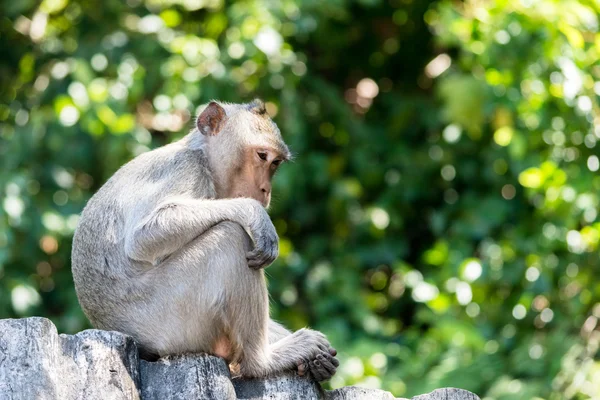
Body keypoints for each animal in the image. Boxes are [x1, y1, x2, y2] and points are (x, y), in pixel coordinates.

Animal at [71, 99, 338, 382]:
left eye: (276, 163)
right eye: (262, 156)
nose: (266, 190)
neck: (202, 156)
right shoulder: (187, 168)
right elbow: (143, 237)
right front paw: (255, 213)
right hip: (170, 318)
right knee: (231, 236)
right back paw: (262, 361)